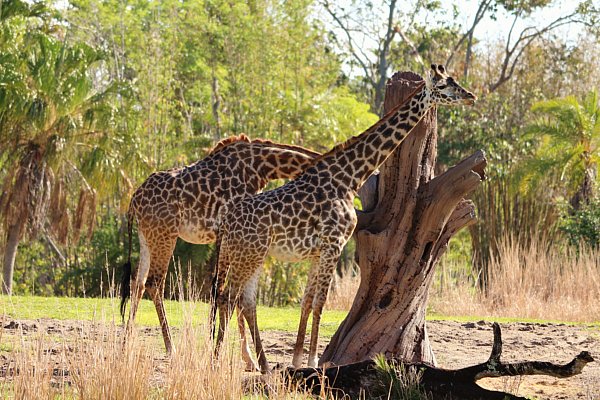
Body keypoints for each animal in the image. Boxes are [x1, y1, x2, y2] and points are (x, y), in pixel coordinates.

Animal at [116, 134, 318, 368]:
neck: (260, 167)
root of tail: (133, 201)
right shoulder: (231, 232)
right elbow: (225, 292)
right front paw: (246, 357)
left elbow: (222, 291)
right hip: (165, 235)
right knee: (154, 283)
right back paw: (171, 349)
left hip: (146, 237)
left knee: (137, 283)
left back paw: (125, 344)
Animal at [213, 64, 476, 374]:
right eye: (445, 86)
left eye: (456, 81)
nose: (470, 96)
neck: (349, 177)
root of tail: (227, 221)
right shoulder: (334, 245)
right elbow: (319, 303)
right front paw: (314, 361)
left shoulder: (318, 252)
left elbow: (306, 301)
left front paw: (298, 360)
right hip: (248, 254)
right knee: (229, 297)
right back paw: (218, 360)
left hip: (252, 255)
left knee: (244, 300)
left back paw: (262, 365)